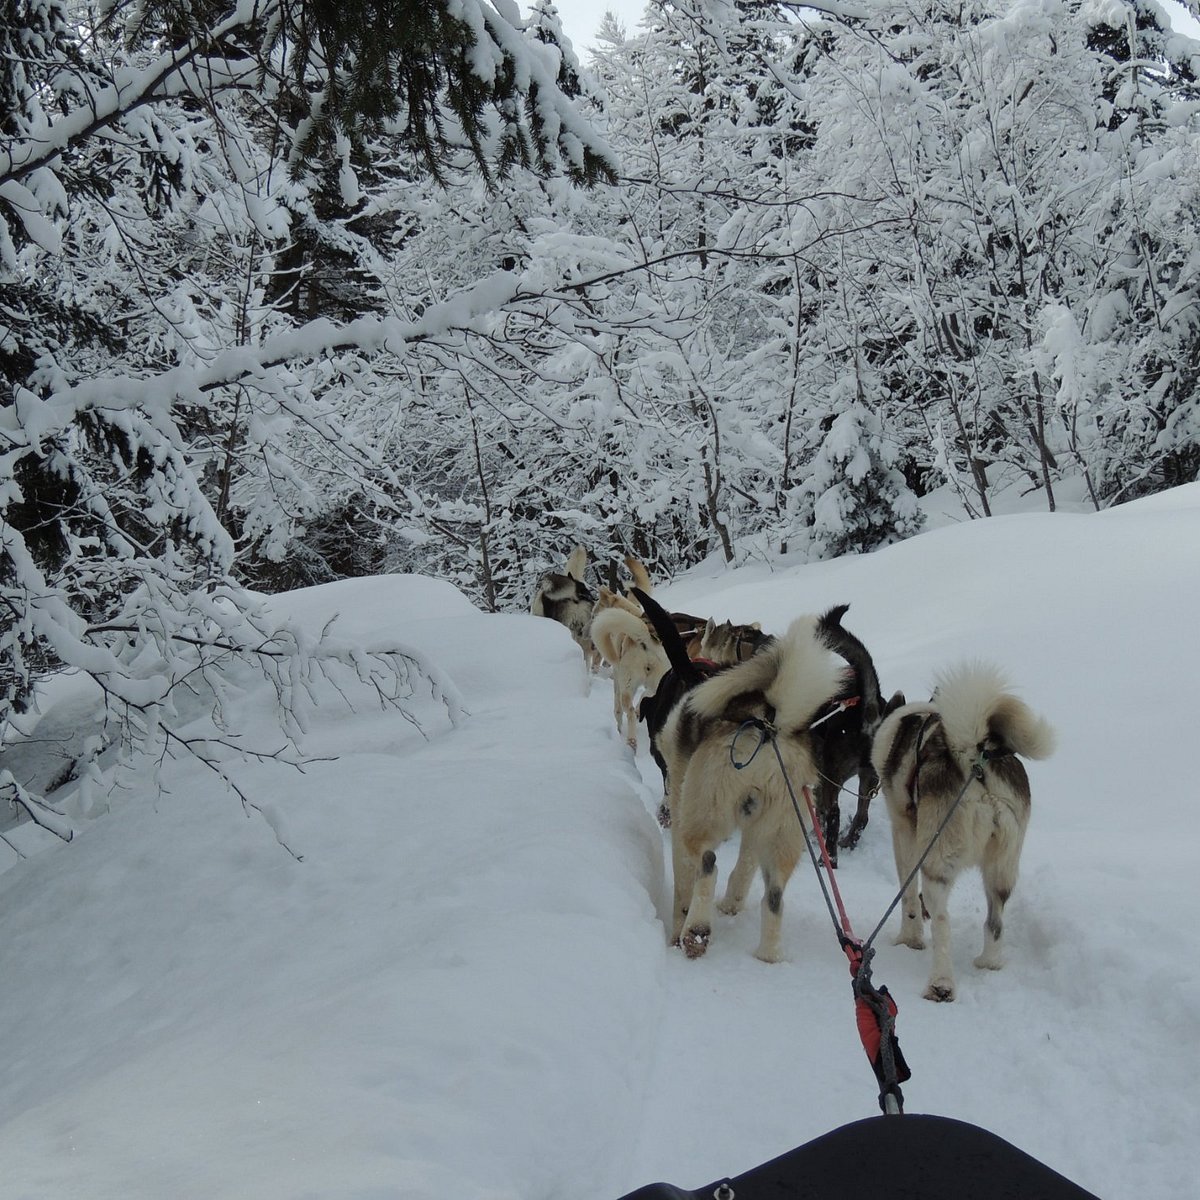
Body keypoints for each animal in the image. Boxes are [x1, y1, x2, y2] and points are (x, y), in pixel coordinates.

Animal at [592, 609, 676, 748]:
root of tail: (645, 641)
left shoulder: (618, 681)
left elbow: (618, 711)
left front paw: (619, 730)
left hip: (627, 685)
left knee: (629, 711)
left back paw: (631, 740)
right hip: (658, 681)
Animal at [657, 619, 844, 964]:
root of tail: (768, 725)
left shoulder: (679, 807)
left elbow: (683, 885)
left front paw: (678, 929)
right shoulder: (754, 830)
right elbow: (744, 868)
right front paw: (732, 904)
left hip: (704, 814)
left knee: (708, 863)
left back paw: (696, 932)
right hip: (781, 831)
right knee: (774, 896)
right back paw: (769, 954)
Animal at [868, 667, 1056, 1003]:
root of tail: (975, 758)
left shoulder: (904, 832)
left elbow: (908, 897)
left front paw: (909, 940)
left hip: (936, 865)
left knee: (943, 924)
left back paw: (940, 984)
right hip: (1001, 870)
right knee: (995, 922)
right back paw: (988, 962)